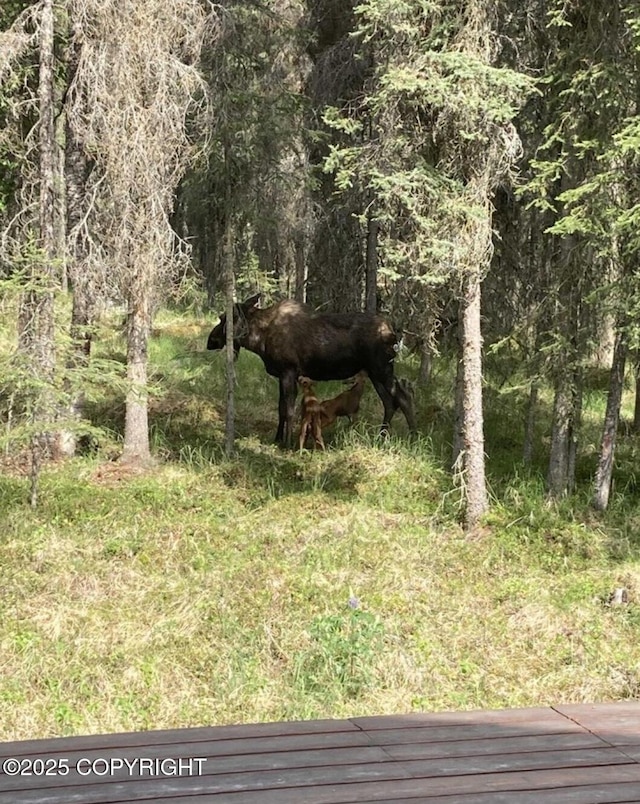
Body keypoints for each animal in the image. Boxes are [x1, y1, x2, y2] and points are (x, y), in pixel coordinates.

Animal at [208, 294, 418, 450]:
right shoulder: (281, 375)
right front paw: (277, 438)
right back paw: (381, 437)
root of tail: (393, 332)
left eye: (225, 318)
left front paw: (288, 443)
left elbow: (289, 410)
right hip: (374, 372)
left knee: (403, 397)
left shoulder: (289, 371)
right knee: (389, 402)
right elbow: (280, 409)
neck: (260, 340)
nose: (210, 341)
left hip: (382, 368)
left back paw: (414, 438)